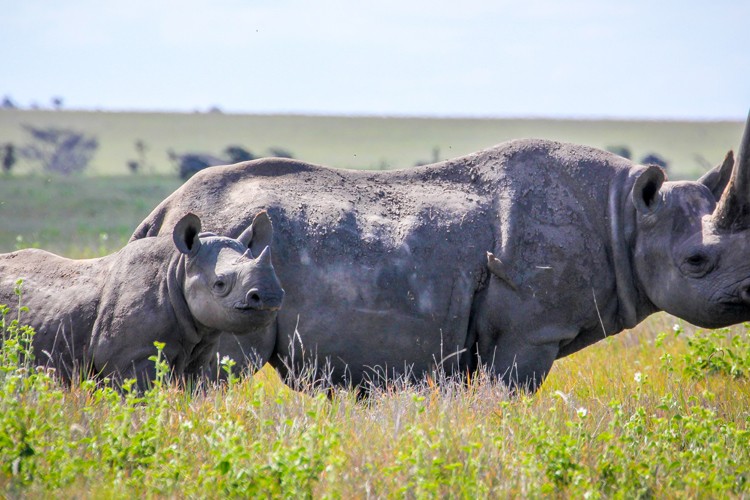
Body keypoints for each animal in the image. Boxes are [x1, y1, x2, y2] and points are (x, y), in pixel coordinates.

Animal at [130, 111, 750, 392]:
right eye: (697, 262)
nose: (749, 295)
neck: (626, 217)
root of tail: (163, 210)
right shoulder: (531, 332)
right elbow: (507, 398)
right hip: (226, 265)